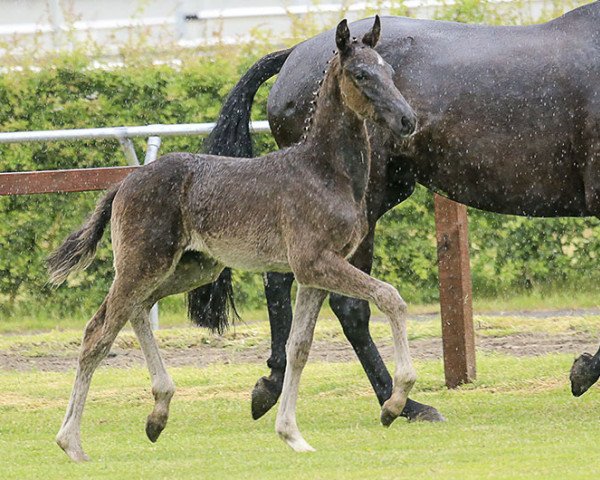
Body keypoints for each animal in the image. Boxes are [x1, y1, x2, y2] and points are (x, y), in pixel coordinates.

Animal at [191, 2, 600, 424]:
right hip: (359, 210)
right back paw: (401, 403)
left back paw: (273, 382)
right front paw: (584, 371)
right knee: (350, 305)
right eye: (363, 75)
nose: (408, 119)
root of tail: (295, 53)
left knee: (282, 280)